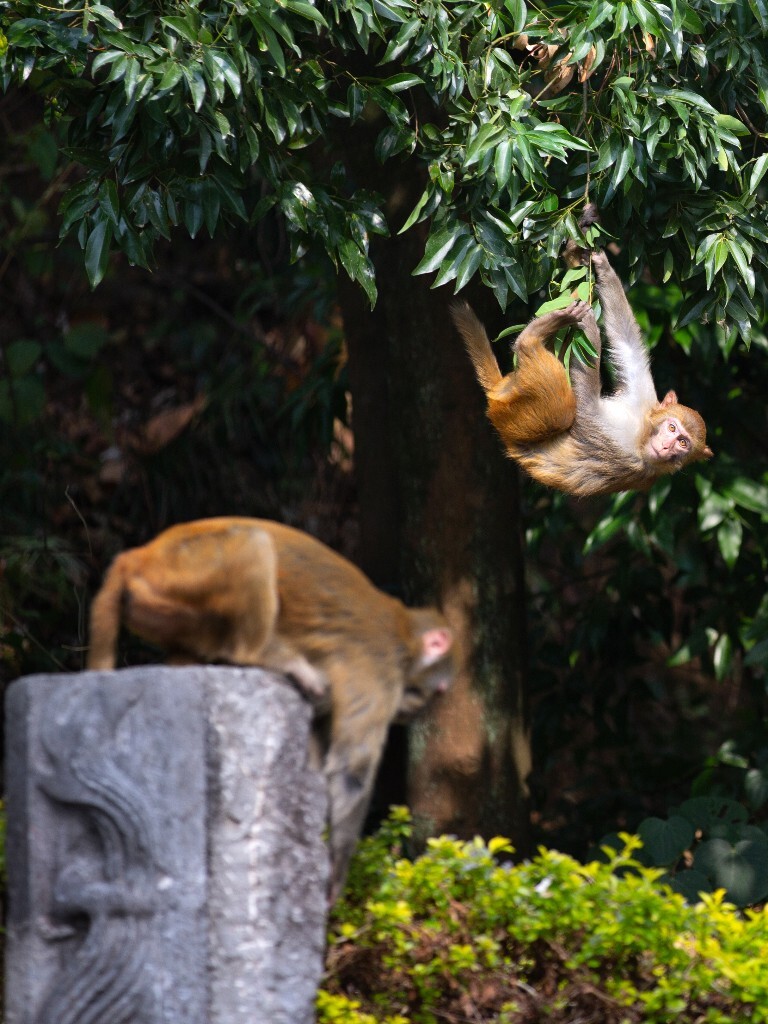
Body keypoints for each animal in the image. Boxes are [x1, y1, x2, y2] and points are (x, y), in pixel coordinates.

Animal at [85, 516, 456, 901]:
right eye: (437, 690)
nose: (415, 709)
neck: (405, 638)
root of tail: (138, 555)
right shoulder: (378, 672)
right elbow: (350, 772)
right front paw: (337, 871)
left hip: (160, 607)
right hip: (180, 572)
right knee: (251, 543)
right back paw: (261, 653)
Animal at [454, 225, 712, 499]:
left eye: (683, 443)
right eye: (672, 429)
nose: (665, 447)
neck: (641, 431)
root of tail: (497, 394)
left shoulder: (629, 454)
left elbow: (586, 411)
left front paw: (589, 325)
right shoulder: (645, 399)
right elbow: (626, 340)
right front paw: (599, 262)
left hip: (514, 418)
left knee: (561, 411)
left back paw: (531, 338)